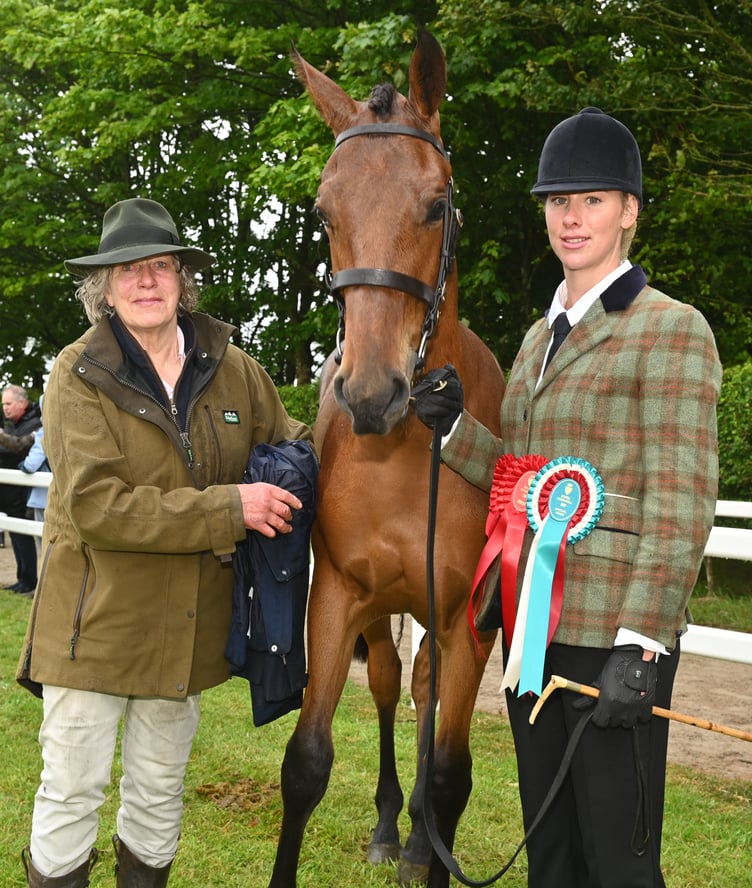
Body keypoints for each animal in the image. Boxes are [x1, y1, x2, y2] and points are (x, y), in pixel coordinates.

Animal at [269, 30, 506, 887]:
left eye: (436, 204)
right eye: (322, 209)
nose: (372, 393)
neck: (408, 451)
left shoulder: (468, 621)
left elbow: (452, 774)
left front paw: (428, 844)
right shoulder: (337, 597)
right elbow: (306, 762)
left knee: (428, 695)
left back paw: (416, 841)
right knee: (388, 686)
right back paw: (386, 827)